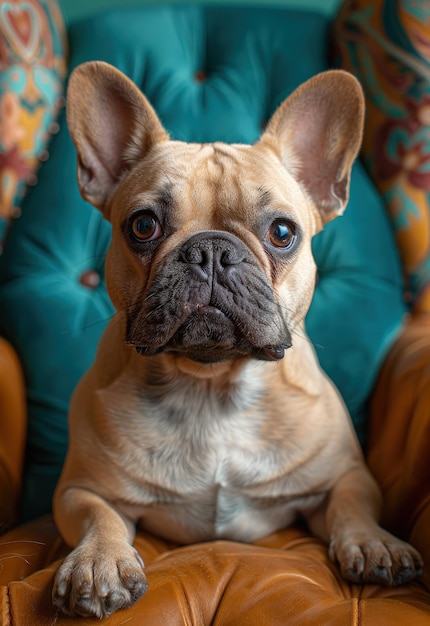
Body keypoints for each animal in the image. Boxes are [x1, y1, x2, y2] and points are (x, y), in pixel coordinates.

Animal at [51, 61, 424, 616]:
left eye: (282, 232)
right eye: (143, 225)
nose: (210, 250)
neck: (211, 385)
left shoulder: (345, 474)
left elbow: (352, 503)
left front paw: (376, 542)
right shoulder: (79, 488)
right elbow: (100, 516)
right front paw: (98, 563)